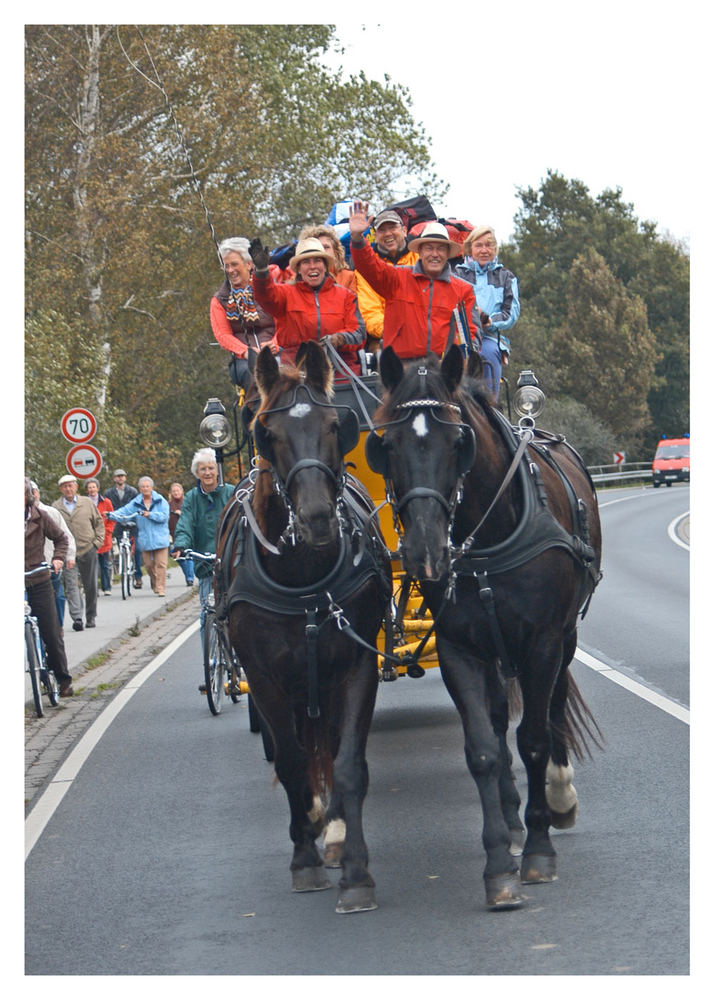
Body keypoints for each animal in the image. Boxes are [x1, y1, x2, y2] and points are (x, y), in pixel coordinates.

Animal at [216, 344, 390, 916]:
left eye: (338, 425)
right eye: (265, 433)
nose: (316, 519)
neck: (303, 577)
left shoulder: (356, 663)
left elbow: (347, 761)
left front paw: (354, 867)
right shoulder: (264, 678)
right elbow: (293, 762)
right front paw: (304, 860)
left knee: (328, 746)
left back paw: (329, 827)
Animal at [368, 348, 600, 912]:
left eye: (459, 442)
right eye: (386, 444)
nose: (424, 550)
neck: (491, 534)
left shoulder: (542, 642)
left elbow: (534, 738)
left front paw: (538, 852)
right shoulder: (460, 649)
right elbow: (483, 749)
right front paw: (499, 865)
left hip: (564, 639)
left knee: (553, 709)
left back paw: (558, 796)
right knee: (497, 720)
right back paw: (513, 817)